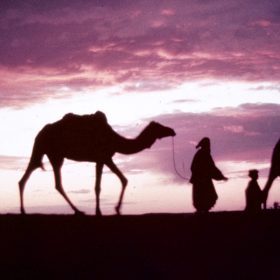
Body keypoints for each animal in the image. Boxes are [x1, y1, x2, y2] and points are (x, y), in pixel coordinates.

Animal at [18, 110, 175, 215]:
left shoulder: (105, 158)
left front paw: (116, 209)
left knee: (32, 176)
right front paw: (100, 211)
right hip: (50, 152)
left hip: (49, 153)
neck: (114, 139)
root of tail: (40, 133)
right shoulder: (102, 157)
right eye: (160, 127)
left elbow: (123, 179)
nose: (172, 130)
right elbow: (99, 186)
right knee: (49, 180)